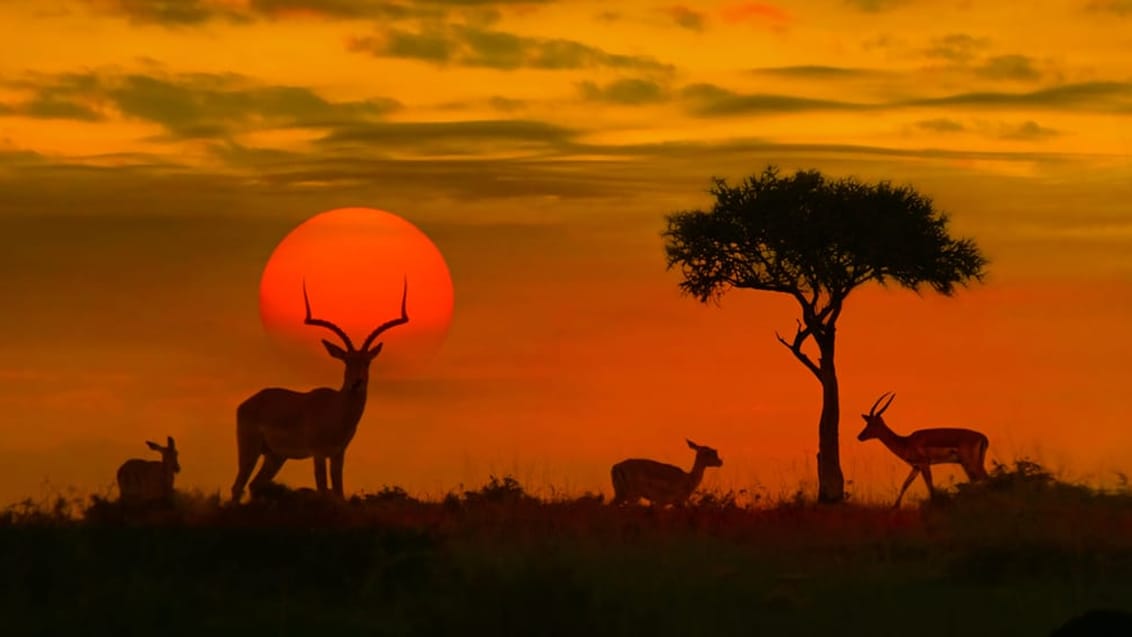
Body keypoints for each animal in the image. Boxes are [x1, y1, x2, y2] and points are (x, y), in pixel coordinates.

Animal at [227, 279, 409, 504]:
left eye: (367, 361)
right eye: (346, 360)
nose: (356, 383)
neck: (337, 410)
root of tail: (249, 402)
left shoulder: (338, 453)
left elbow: (338, 491)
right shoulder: (318, 453)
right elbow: (323, 488)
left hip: (275, 456)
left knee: (254, 484)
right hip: (250, 449)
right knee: (238, 486)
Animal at [855, 393, 991, 509]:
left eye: (872, 424)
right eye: (867, 422)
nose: (860, 436)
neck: (906, 442)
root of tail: (983, 437)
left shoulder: (924, 464)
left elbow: (930, 485)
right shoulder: (916, 467)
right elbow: (905, 484)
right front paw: (894, 507)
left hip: (970, 463)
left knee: (985, 478)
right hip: (970, 464)